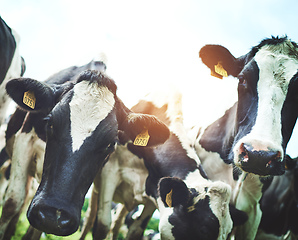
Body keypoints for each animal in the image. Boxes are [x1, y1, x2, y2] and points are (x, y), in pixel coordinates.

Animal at [0, 58, 107, 240]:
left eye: (110, 144)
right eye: (50, 122)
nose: (53, 214)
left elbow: (37, 228)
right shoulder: (24, 139)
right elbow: (12, 202)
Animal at [79, 89, 247, 240]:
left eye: (228, 232)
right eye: (204, 230)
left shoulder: (154, 192)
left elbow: (135, 232)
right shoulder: (110, 172)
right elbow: (102, 226)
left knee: (116, 225)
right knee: (90, 220)